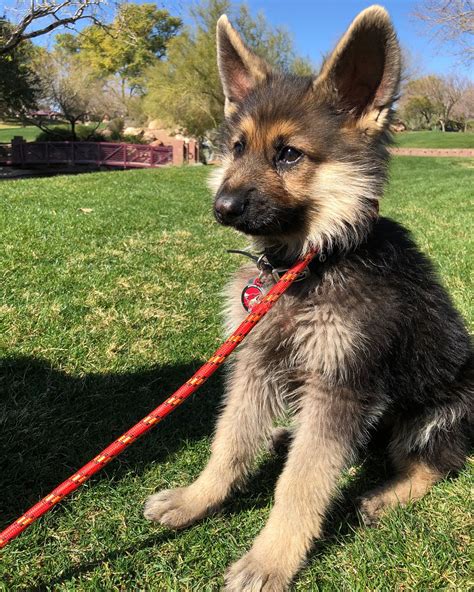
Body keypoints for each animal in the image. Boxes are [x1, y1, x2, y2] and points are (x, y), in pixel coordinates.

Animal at [143, 5, 470, 592]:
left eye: (290, 154)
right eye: (237, 148)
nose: (222, 207)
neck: (307, 264)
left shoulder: (341, 386)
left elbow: (300, 484)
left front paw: (270, 560)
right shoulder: (254, 363)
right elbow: (228, 444)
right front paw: (196, 500)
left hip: (439, 411)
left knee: (434, 462)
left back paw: (385, 495)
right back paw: (280, 439)